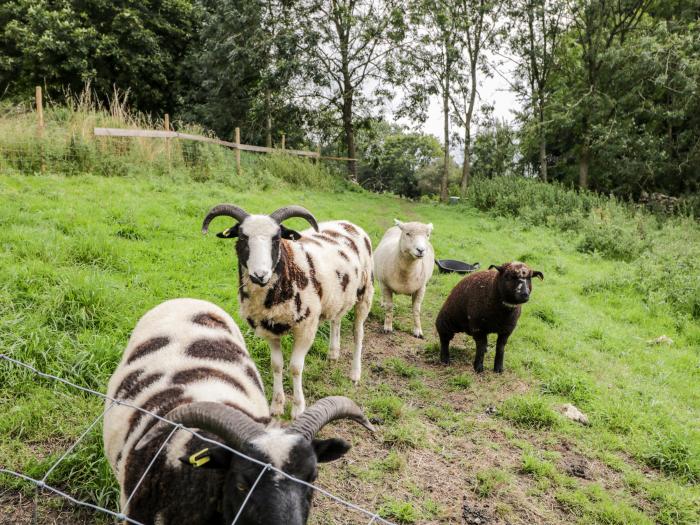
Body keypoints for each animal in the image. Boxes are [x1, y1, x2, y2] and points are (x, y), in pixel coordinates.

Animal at [201, 204, 374, 418]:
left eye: (276, 238)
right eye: (242, 237)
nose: (260, 275)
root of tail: (349, 223)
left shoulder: (306, 328)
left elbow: (295, 368)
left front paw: (298, 409)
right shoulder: (269, 328)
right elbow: (277, 365)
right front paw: (276, 405)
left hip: (365, 293)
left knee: (358, 333)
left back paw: (355, 374)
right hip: (339, 296)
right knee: (336, 320)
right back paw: (333, 354)